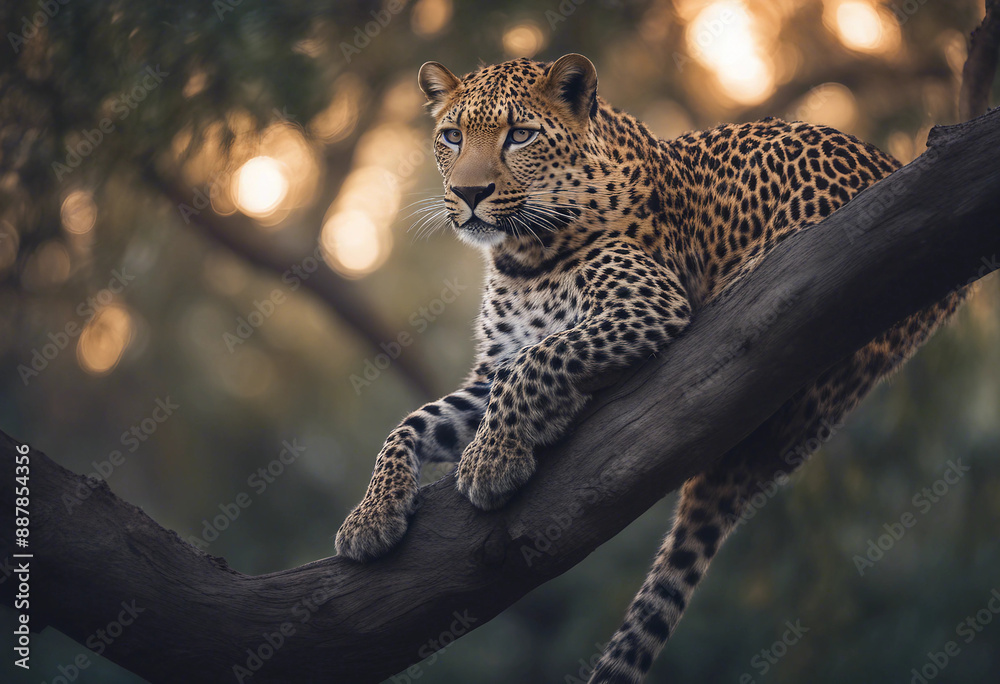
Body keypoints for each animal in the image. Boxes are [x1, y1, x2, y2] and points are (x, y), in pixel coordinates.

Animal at [335, 53, 966, 683]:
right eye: (451, 136)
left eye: (520, 135)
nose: (468, 192)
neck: (517, 260)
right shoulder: (491, 370)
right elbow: (415, 421)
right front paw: (369, 519)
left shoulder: (648, 304)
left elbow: (541, 358)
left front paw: (492, 463)